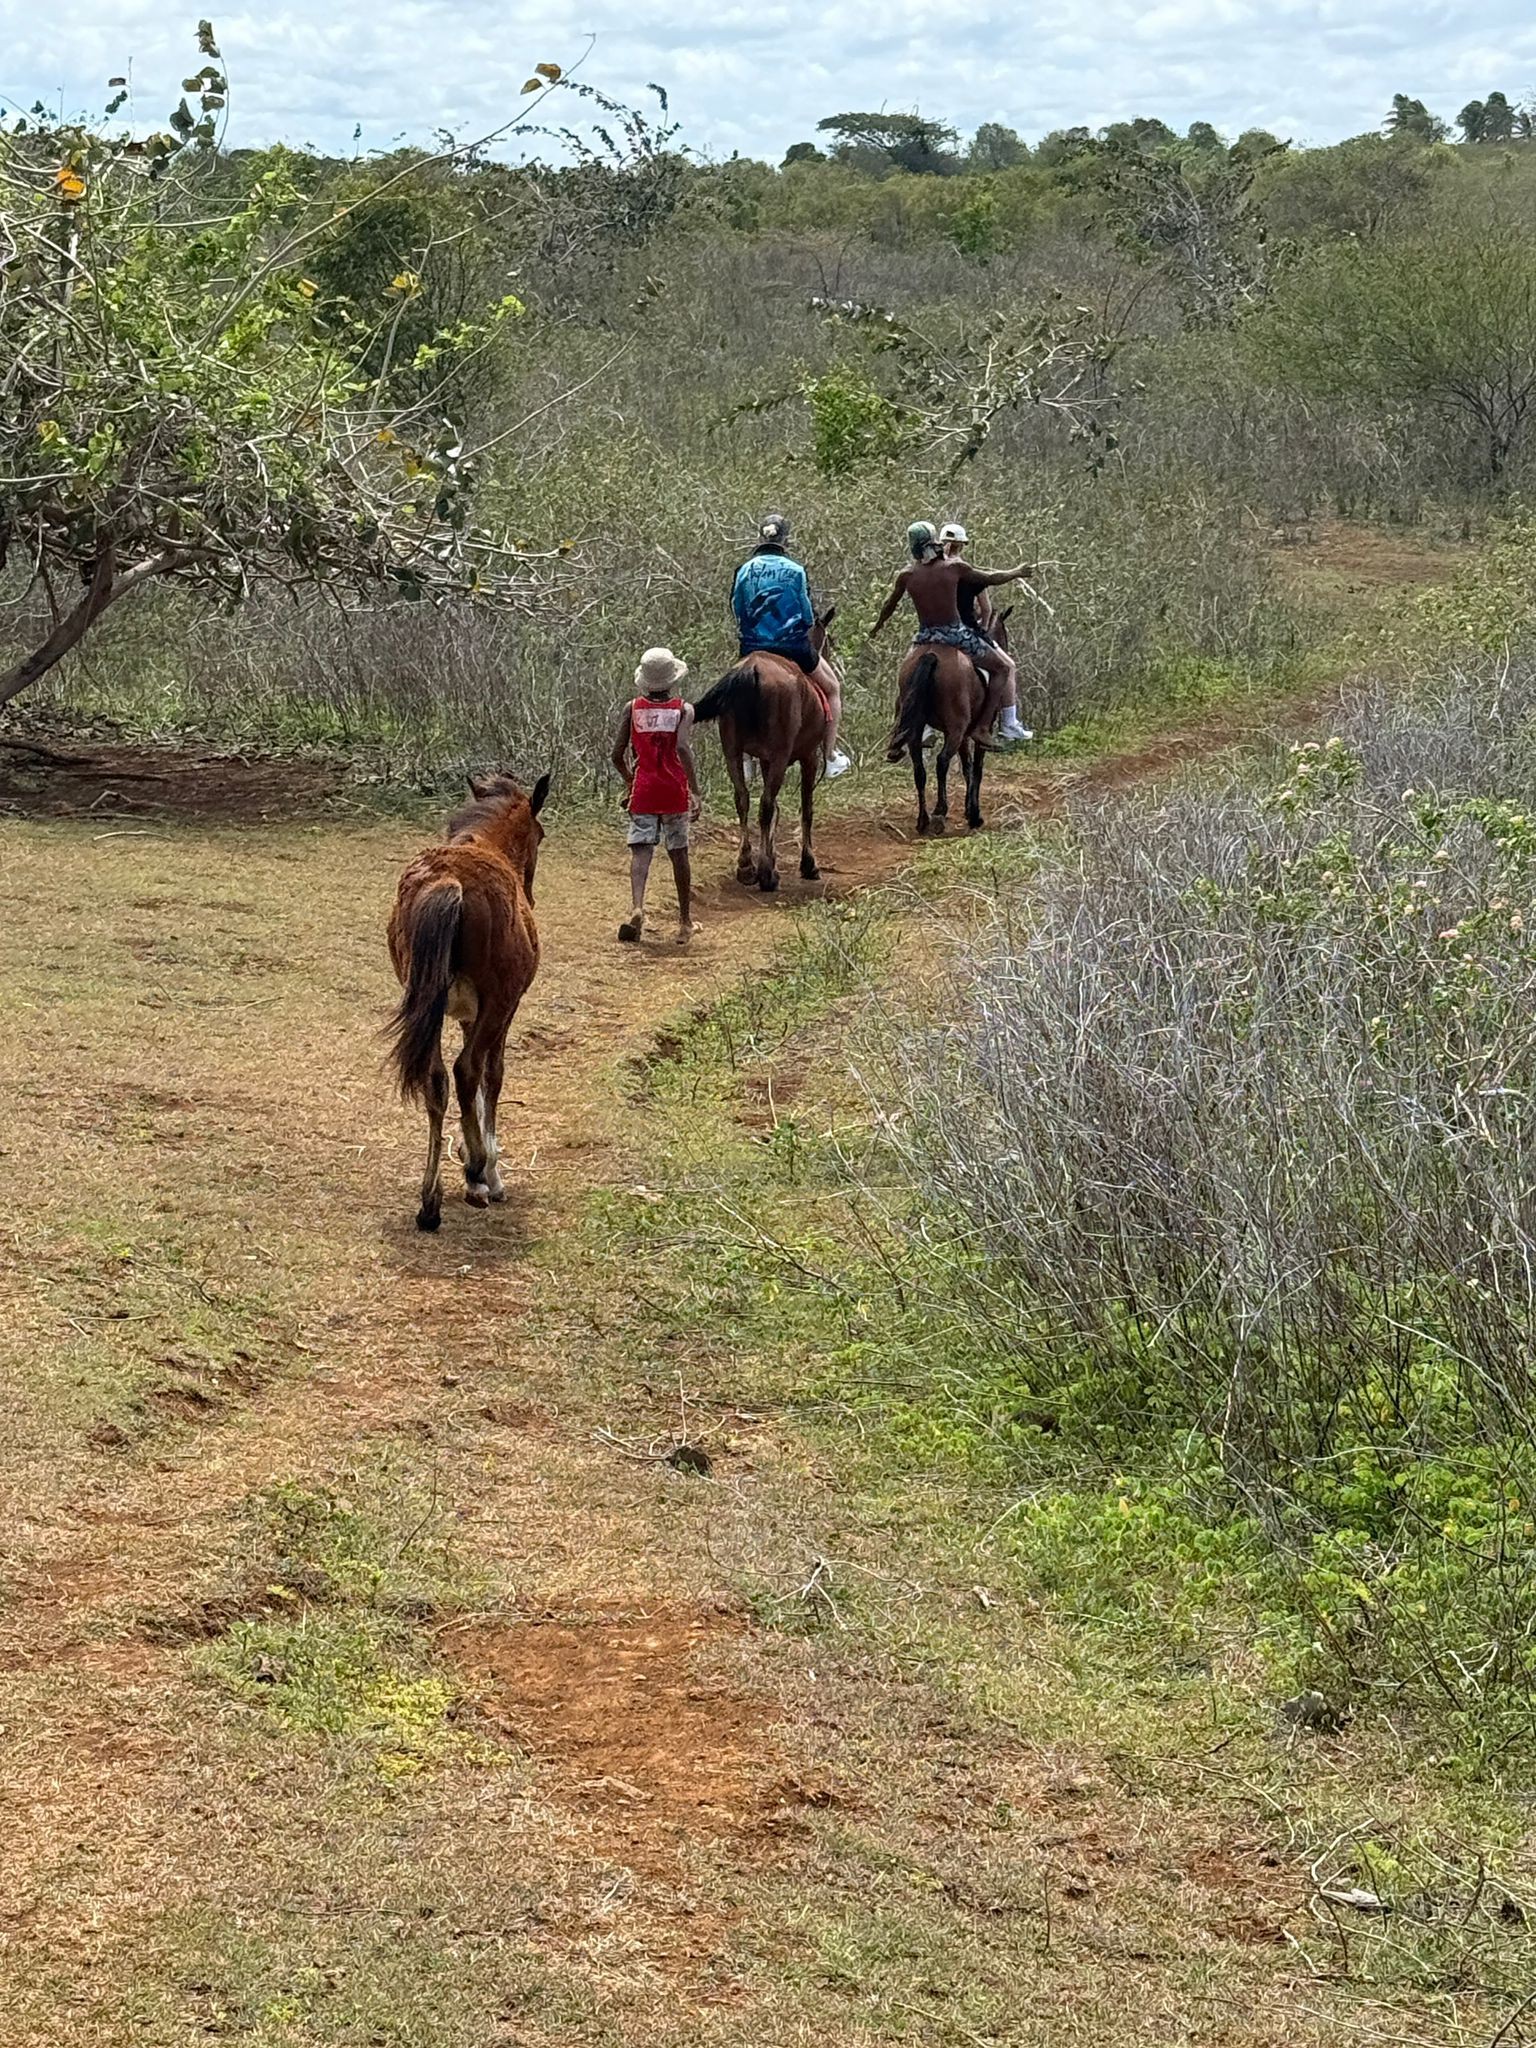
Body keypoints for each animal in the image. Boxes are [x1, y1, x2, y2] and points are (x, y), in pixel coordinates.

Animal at [386, 770, 550, 1231]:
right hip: (495, 1004)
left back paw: (430, 1201)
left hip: (428, 1006)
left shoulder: (461, 1015)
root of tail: (449, 882)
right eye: (541, 835)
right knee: (465, 1070)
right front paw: (487, 1170)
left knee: (436, 1078)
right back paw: (477, 1170)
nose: (530, 895)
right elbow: (491, 1077)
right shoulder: (503, 1007)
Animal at [691, 609, 837, 893]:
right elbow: (806, 808)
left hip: (732, 752)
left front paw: (770, 856)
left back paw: (747, 867)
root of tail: (752, 670)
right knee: (765, 805)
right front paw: (807, 864)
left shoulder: (767, 760)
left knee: (743, 799)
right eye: (830, 641)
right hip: (781, 755)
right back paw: (766, 875)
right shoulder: (808, 757)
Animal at [885, 609, 1013, 837]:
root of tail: (931, 655)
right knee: (942, 761)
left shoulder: (962, 734)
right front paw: (974, 815)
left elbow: (967, 767)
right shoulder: (976, 732)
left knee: (919, 769)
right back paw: (938, 814)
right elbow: (976, 768)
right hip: (955, 729)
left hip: (917, 731)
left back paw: (923, 820)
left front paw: (969, 811)